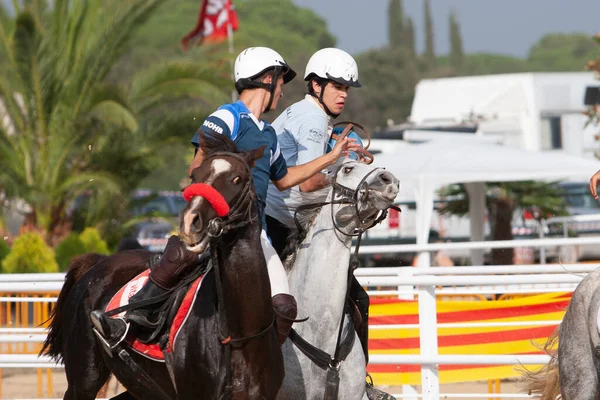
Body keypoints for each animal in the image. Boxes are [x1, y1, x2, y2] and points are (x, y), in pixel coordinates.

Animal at [41, 134, 284, 400]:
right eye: (195, 176)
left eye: (236, 179)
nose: (190, 220)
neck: (241, 337)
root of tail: (97, 264)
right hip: (84, 380)